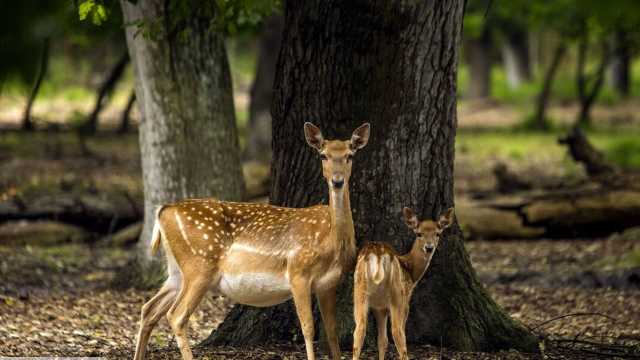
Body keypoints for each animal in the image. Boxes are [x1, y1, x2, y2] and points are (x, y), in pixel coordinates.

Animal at [133, 122, 372, 360]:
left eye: (350, 155)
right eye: (323, 155)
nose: (337, 181)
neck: (331, 242)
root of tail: (163, 211)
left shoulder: (328, 284)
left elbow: (331, 332)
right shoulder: (298, 272)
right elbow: (308, 328)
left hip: (177, 271)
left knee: (149, 309)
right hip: (199, 265)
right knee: (176, 315)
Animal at [352, 207, 452, 358]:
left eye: (438, 234)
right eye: (419, 234)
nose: (429, 248)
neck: (411, 272)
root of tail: (378, 256)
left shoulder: (380, 308)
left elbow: (382, 341)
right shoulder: (405, 301)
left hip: (359, 291)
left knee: (359, 331)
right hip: (397, 295)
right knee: (398, 333)